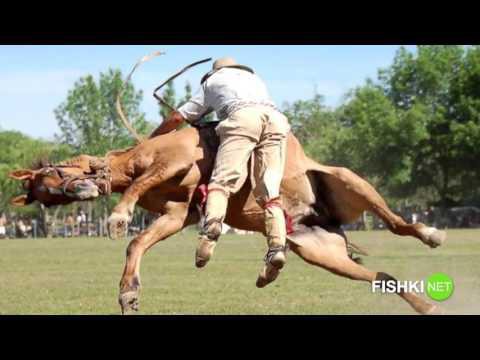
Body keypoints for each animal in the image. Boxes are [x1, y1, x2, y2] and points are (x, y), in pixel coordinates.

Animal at [8, 52, 446, 314]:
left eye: (53, 174)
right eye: (47, 198)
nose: (80, 191)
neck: (134, 159)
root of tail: (321, 219)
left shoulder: (178, 162)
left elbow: (136, 196)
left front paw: (118, 216)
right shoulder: (176, 214)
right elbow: (138, 243)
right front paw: (128, 293)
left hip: (348, 181)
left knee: (398, 224)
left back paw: (431, 234)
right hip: (321, 252)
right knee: (381, 276)